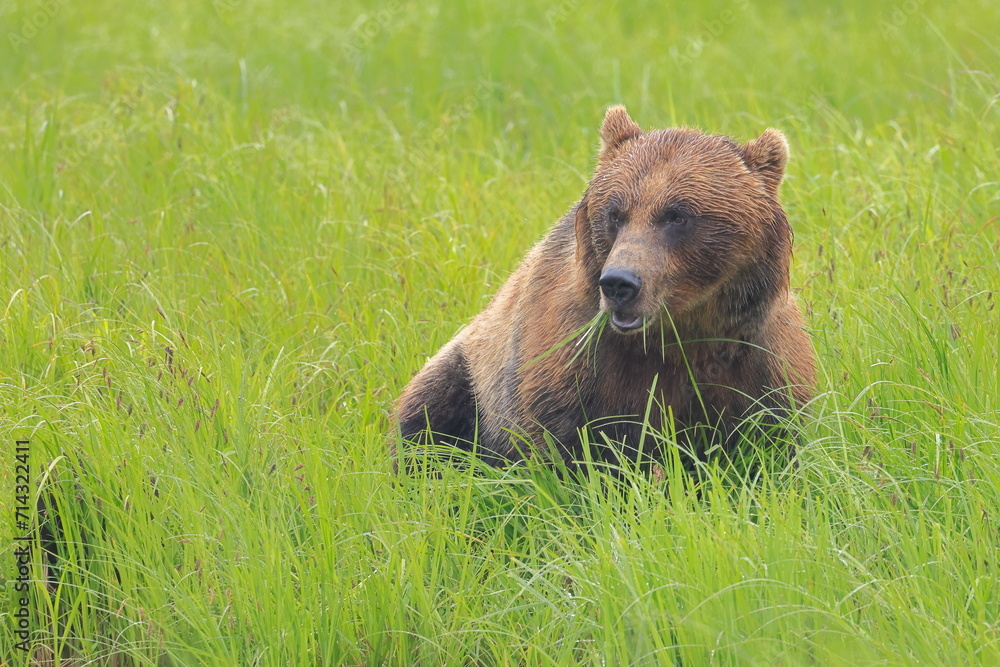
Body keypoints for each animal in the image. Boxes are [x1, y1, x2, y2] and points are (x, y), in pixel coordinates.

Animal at [394, 105, 815, 470]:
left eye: (677, 215)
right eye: (615, 212)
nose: (619, 283)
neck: (679, 332)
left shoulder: (757, 359)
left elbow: (767, 441)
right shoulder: (574, 361)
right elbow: (571, 449)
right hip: (468, 371)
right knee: (427, 417)